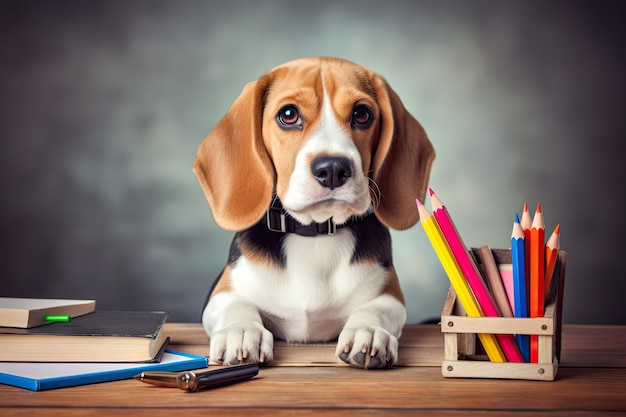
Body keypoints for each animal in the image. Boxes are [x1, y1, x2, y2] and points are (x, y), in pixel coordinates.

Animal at [194, 56, 434, 368]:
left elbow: (376, 309)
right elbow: (236, 304)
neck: (314, 234)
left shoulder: (390, 293)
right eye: (288, 114)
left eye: (362, 114)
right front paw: (242, 331)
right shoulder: (223, 291)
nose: (332, 168)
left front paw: (368, 332)